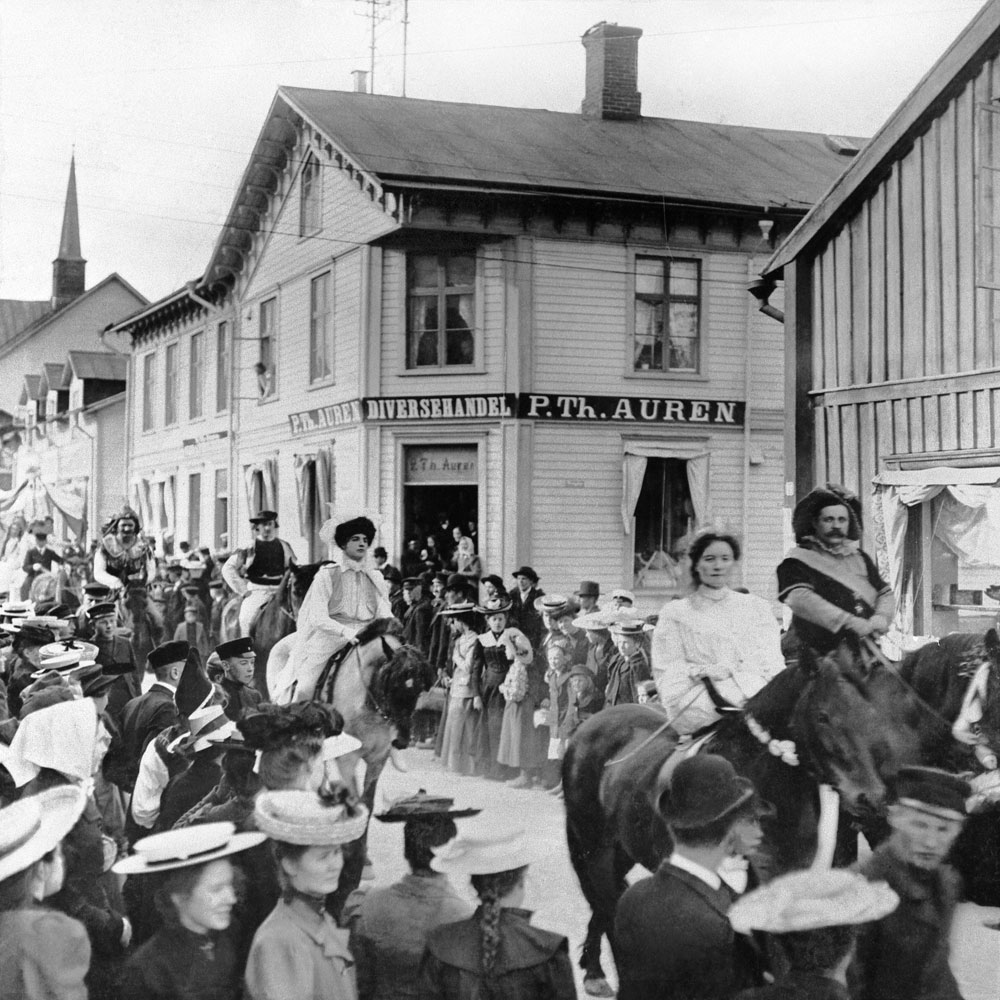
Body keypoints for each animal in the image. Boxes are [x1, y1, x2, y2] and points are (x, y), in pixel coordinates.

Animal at [564, 644, 916, 996]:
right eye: (822, 716)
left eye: (870, 714)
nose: (870, 797)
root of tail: (591, 726)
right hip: (596, 851)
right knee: (607, 906)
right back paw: (597, 974)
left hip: (622, 851)